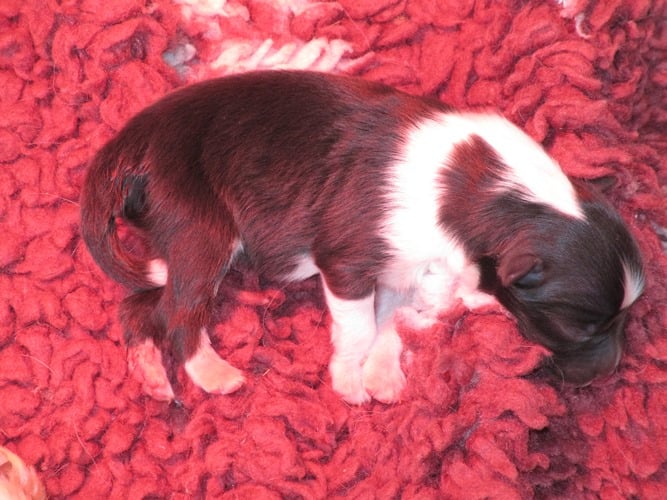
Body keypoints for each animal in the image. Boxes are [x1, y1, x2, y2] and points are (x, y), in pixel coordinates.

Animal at [79, 70, 645, 404]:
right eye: (581, 328)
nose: (610, 373)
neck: (488, 191)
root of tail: (128, 140)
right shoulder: (348, 261)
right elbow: (358, 325)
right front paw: (351, 379)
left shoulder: (401, 270)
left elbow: (391, 318)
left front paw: (383, 373)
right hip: (201, 234)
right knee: (179, 314)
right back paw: (215, 375)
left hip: (170, 248)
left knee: (140, 307)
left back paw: (153, 376)